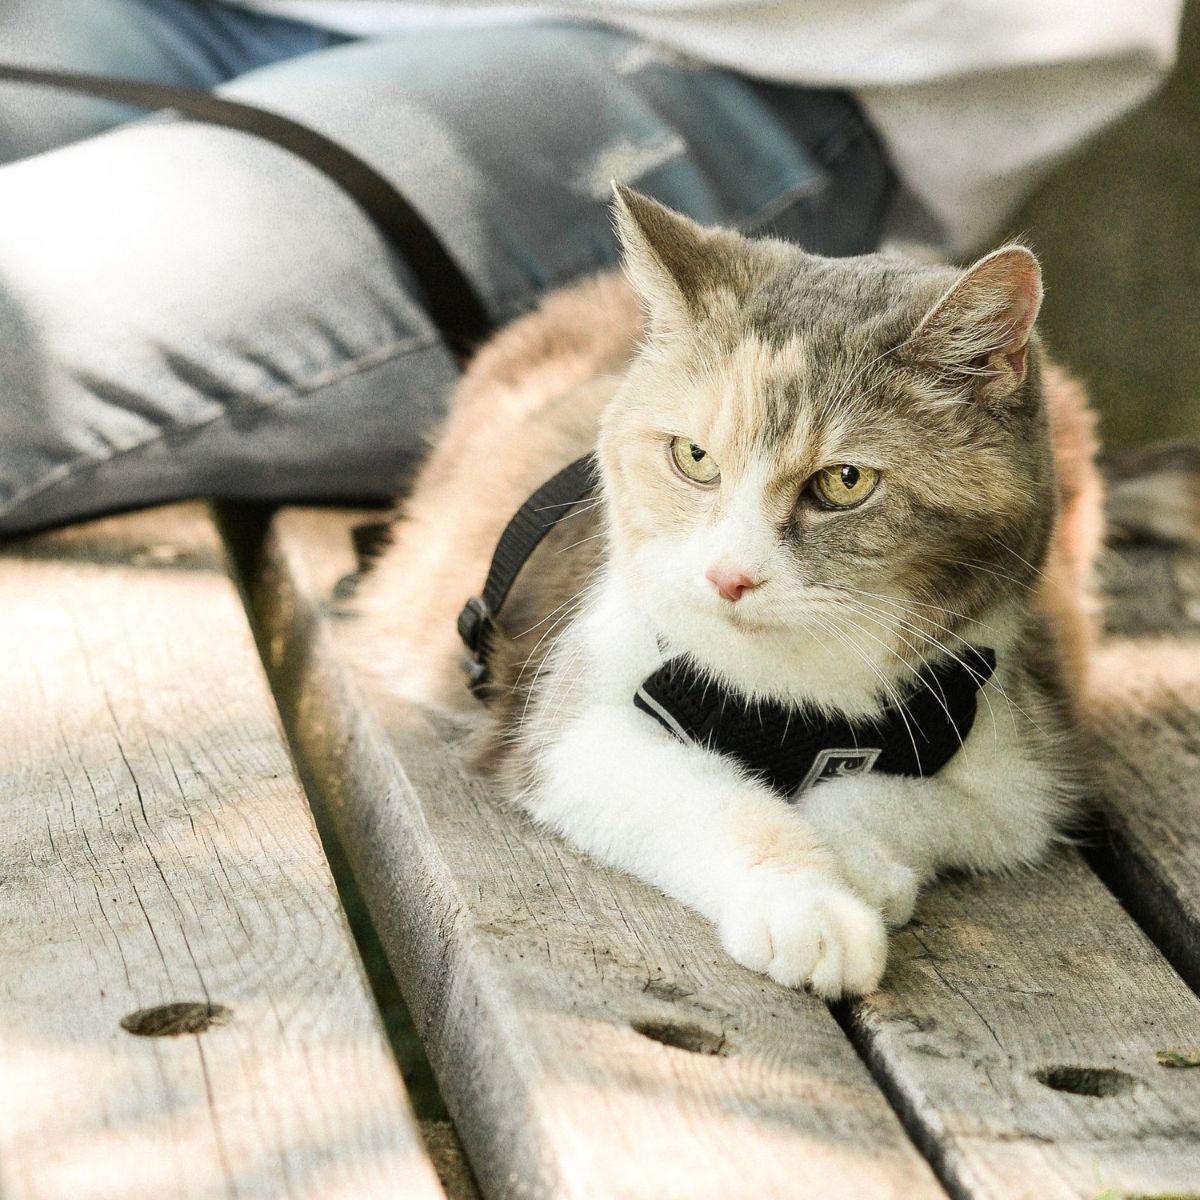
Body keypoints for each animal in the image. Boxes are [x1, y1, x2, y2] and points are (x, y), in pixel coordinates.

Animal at [357, 182, 1104, 998]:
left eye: (846, 482)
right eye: (693, 456)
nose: (729, 576)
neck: (794, 701)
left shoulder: (1016, 764)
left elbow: (886, 797)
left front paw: (861, 868)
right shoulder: (574, 727)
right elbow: (720, 803)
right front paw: (809, 907)